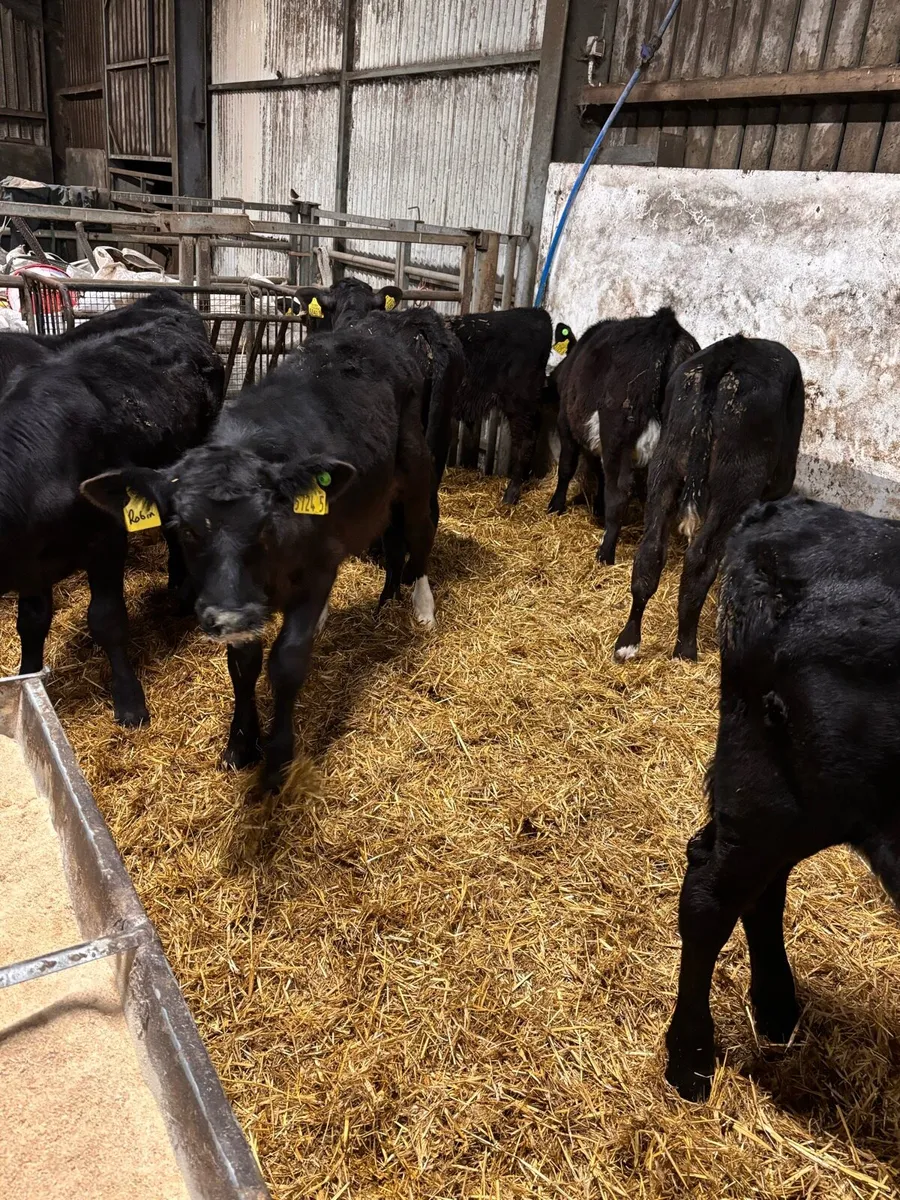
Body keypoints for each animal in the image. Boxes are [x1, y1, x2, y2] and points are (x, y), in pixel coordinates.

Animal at [0, 313, 223, 725]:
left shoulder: (107, 539)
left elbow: (106, 619)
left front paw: (130, 702)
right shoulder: (30, 563)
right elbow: (32, 621)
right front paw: (27, 678)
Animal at [82, 328, 437, 794]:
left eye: (266, 522)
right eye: (184, 528)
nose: (230, 618)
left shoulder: (318, 570)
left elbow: (287, 663)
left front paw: (278, 759)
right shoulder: (236, 598)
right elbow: (243, 666)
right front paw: (240, 744)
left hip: (417, 470)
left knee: (420, 531)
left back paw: (423, 608)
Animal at [548, 307, 699, 565]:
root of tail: (666, 326)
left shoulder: (566, 422)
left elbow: (567, 466)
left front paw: (556, 505)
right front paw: (597, 507)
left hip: (616, 435)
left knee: (619, 491)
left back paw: (605, 553)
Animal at [614, 336, 804, 662]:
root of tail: (733, 349)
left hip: (665, 466)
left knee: (650, 552)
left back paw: (628, 642)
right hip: (735, 483)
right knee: (699, 561)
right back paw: (685, 649)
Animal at [665, 495, 900, 1100]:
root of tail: (784, 509)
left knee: (760, 892)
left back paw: (776, 1010)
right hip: (775, 798)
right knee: (710, 895)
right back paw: (690, 1061)